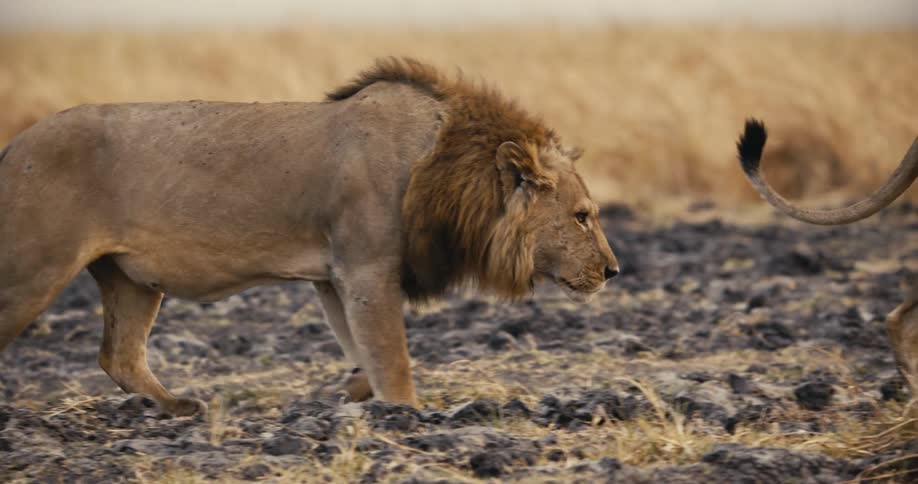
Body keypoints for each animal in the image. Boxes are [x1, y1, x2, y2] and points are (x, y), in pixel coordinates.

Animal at [0, 57, 619, 416]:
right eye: (583, 216)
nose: (614, 271)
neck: (442, 162)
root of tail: (14, 145)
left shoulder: (334, 278)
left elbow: (363, 352)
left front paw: (346, 395)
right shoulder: (366, 268)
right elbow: (393, 358)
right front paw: (409, 418)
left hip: (130, 277)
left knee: (120, 356)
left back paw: (180, 409)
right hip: (33, 271)